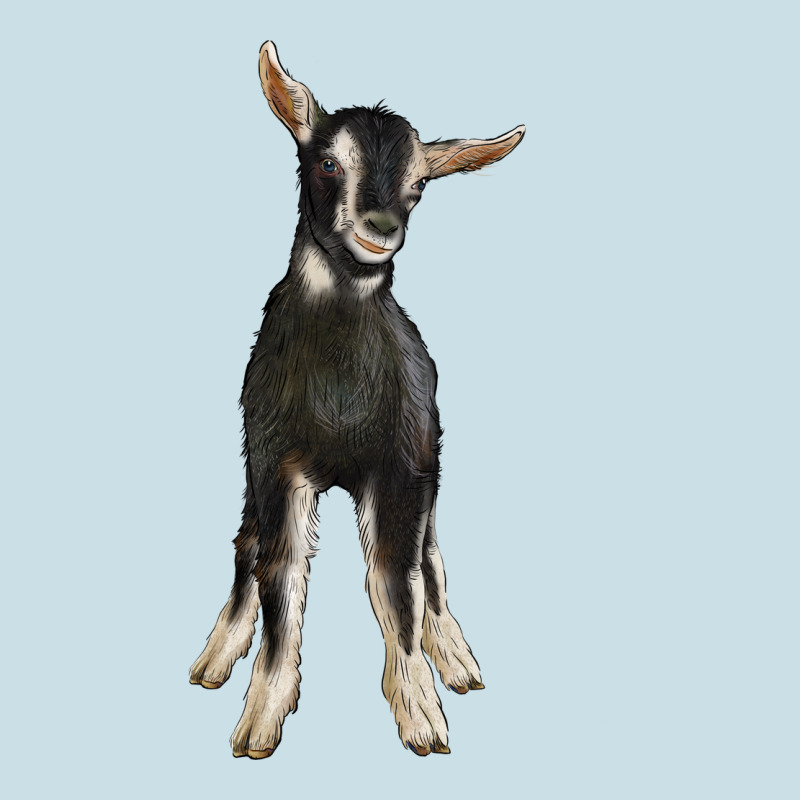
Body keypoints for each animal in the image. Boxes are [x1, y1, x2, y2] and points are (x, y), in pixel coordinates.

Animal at [189, 40, 525, 758]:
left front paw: (421, 712)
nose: (381, 227)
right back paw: (216, 652)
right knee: (246, 543)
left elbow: (396, 580)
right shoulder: (278, 463)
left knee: (429, 557)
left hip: (429, 459)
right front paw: (260, 717)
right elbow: (281, 573)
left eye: (421, 183)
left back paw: (455, 657)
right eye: (327, 161)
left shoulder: (401, 467)